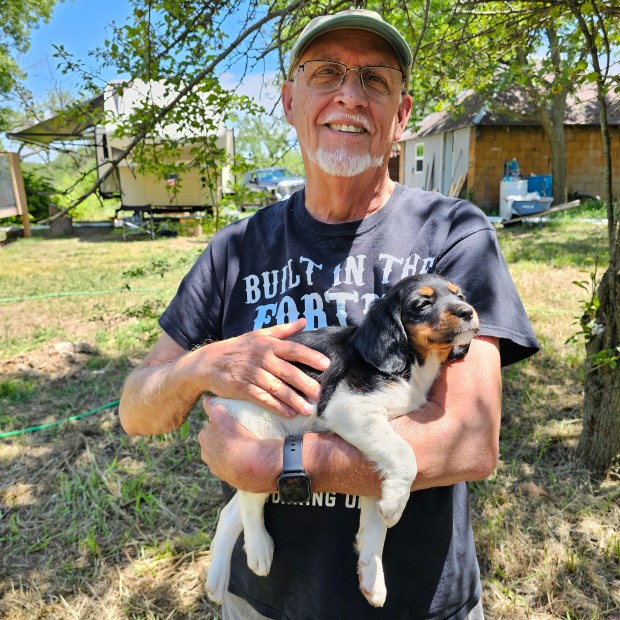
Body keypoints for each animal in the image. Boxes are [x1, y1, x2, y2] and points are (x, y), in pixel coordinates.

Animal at [205, 273, 479, 607]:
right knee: (247, 498)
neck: (412, 365)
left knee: (231, 509)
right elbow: (404, 455)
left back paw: (216, 579)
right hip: (259, 426)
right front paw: (395, 507)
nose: (468, 311)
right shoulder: (349, 408)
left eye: (460, 295)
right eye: (422, 304)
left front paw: (372, 573)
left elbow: (375, 513)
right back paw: (258, 548)